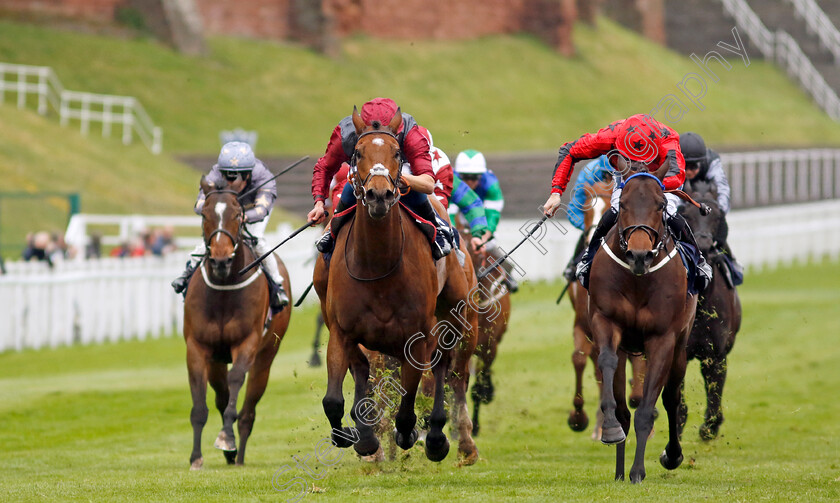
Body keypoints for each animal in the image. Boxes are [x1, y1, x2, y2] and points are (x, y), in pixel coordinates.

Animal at [183, 177, 292, 468]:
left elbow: (236, 383)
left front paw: (226, 438)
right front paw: (196, 457)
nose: (221, 259)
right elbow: (201, 405)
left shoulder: (247, 343)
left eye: (237, 215)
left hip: (266, 358)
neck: (224, 289)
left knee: (248, 409)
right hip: (216, 361)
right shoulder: (197, 347)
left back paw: (239, 453)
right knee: (221, 396)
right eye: (205, 214)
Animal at [312, 108, 480, 466]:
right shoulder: (342, 331)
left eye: (397, 153)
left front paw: (411, 434)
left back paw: (442, 438)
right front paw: (357, 437)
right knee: (366, 370)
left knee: (449, 370)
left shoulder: (417, 336)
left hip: (457, 318)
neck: (378, 266)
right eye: (358, 153)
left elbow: (407, 406)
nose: (379, 194)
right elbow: (334, 399)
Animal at [584, 161, 696, 484]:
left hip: (681, 347)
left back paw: (672, 455)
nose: (639, 255)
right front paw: (610, 431)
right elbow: (609, 368)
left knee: (671, 397)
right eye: (622, 205)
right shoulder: (606, 322)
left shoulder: (663, 338)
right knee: (625, 405)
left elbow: (648, 409)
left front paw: (638, 471)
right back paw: (620, 468)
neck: (637, 281)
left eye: (661, 205)